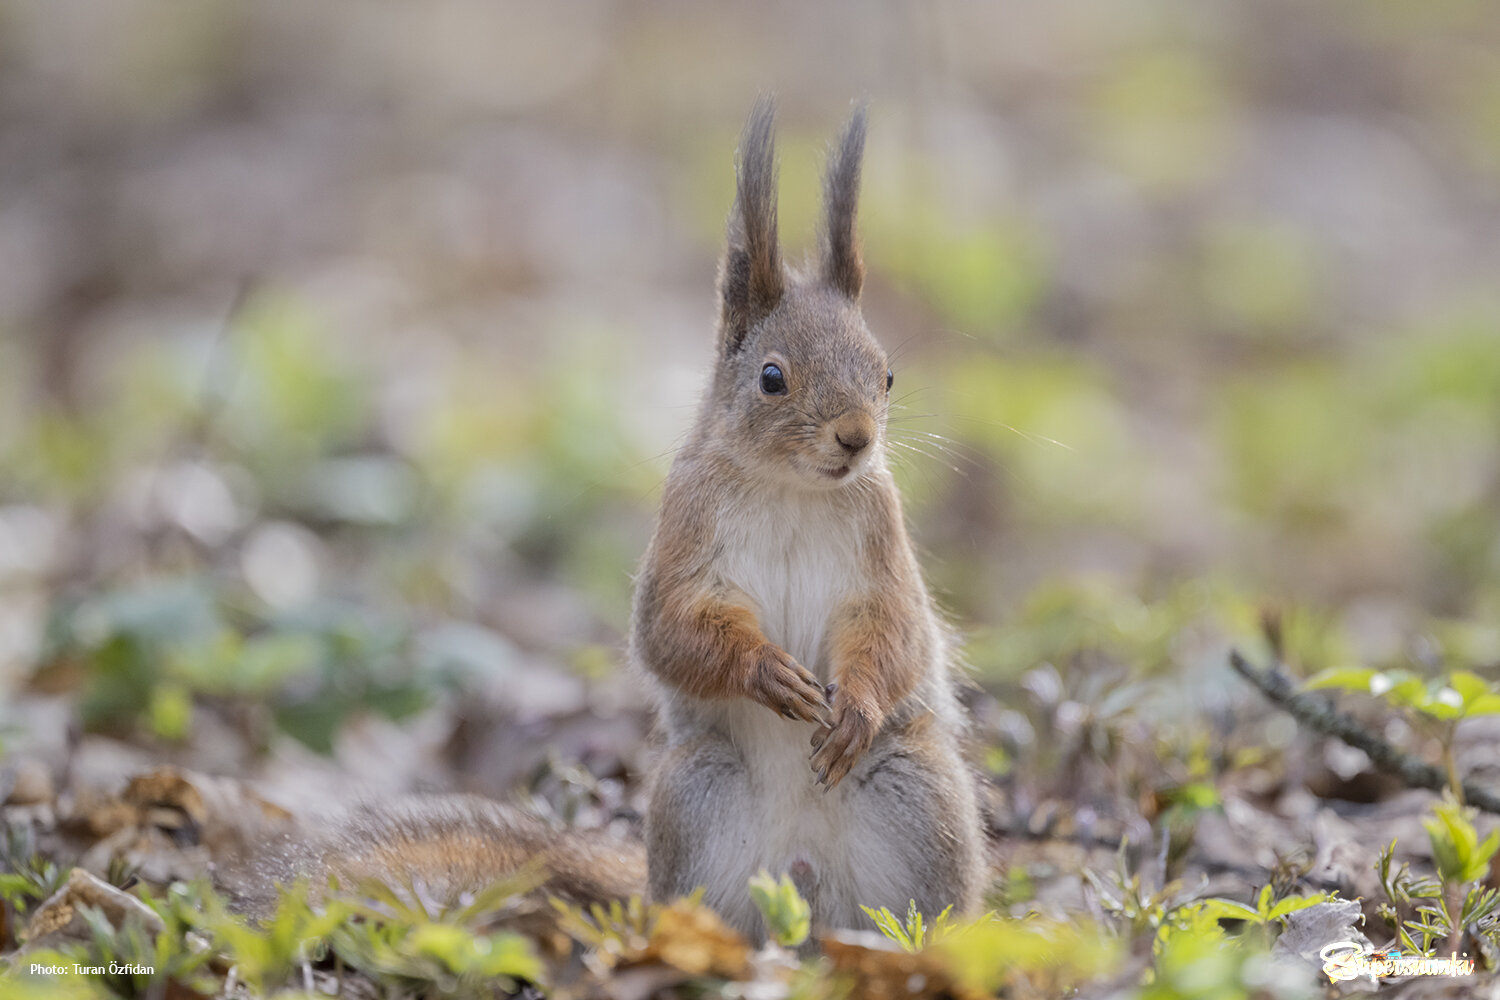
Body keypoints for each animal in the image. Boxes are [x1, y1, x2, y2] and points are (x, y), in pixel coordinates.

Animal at [219, 99, 972, 947]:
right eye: (773, 377)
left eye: (885, 373)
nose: (856, 437)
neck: (792, 489)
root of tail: (806, 902)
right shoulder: (686, 527)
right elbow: (670, 627)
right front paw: (764, 671)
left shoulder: (881, 540)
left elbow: (892, 628)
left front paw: (858, 710)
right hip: (695, 794)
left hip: (920, 797)